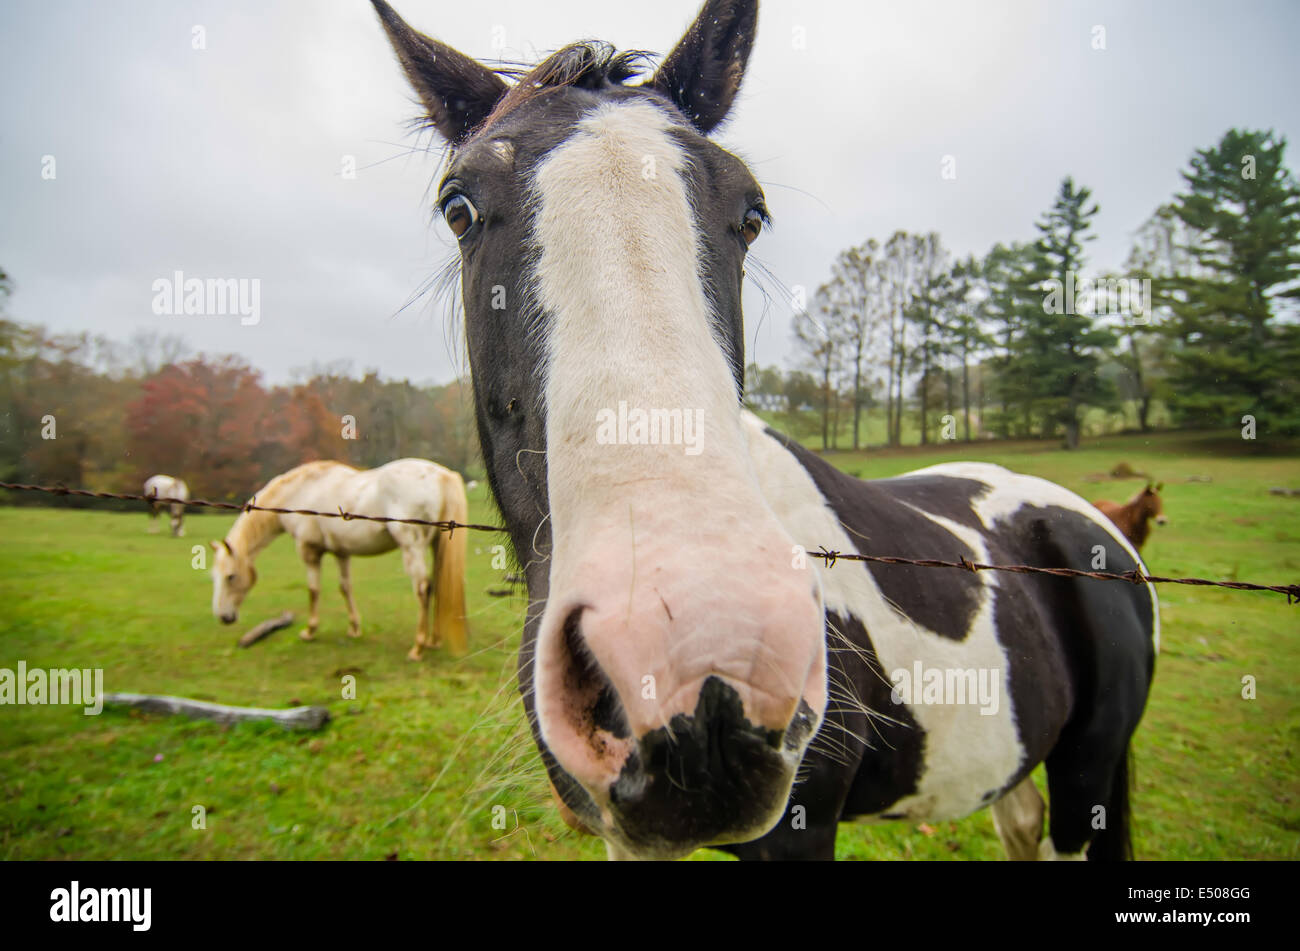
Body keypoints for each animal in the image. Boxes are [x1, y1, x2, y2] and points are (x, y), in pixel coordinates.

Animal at [213, 457, 473, 657]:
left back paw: (418, 647)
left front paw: (309, 631)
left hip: (412, 548)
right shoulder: (341, 553)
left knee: (423, 589)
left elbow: (313, 590)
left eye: (231, 576)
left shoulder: (309, 551)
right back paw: (433, 640)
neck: (300, 492)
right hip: (436, 546)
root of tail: (441, 475)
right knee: (438, 584)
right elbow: (345, 587)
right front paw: (354, 629)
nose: (223, 617)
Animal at [374, 0, 1159, 862]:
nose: (699, 677)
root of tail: (1100, 528)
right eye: (459, 208)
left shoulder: (801, 829)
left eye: (751, 214)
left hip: (1089, 771)